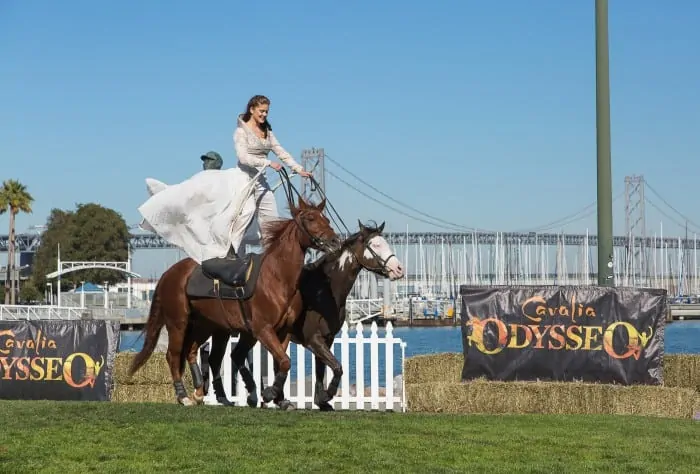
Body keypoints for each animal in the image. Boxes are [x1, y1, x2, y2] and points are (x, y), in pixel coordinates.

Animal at [131, 194, 342, 406]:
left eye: (326, 219)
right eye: (310, 218)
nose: (335, 241)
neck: (277, 277)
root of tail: (169, 274)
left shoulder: (284, 332)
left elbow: (280, 364)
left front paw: (280, 398)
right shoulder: (262, 329)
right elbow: (284, 362)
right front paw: (269, 394)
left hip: (204, 325)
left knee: (192, 352)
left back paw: (201, 393)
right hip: (178, 323)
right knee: (173, 356)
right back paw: (183, 396)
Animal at [189, 220, 404, 410]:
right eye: (375, 245)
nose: (399, 269)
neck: (323, 290)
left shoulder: (326, 339)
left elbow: (321, 369)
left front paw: (321, 400)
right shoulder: (312, 339)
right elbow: (336, 367)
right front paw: (326, 395)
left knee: (230, 356)